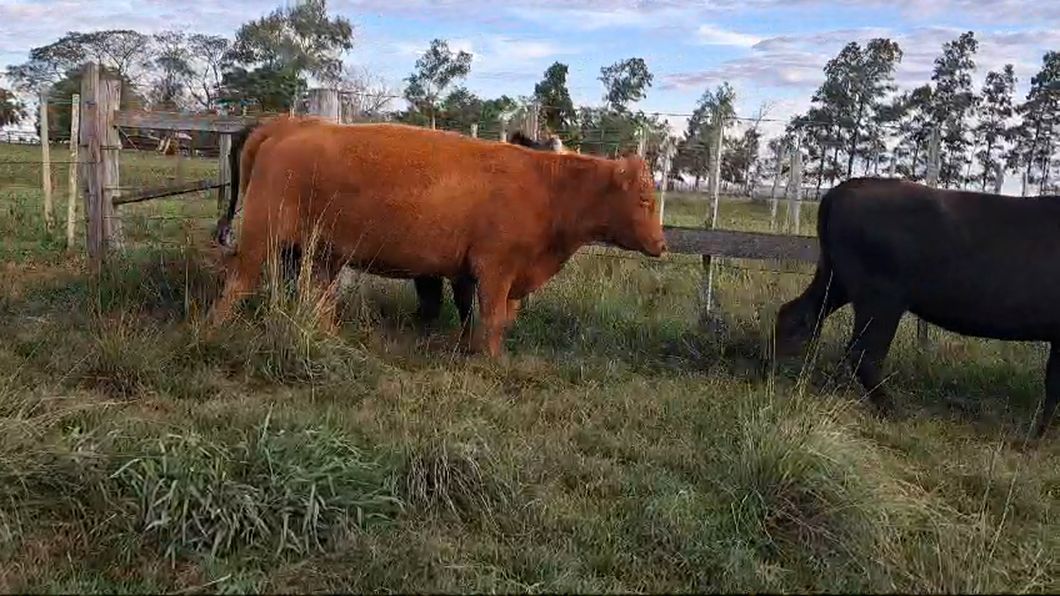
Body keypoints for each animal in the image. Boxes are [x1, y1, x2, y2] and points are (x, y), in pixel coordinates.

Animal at [207, 118, 665, 354]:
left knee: (315, 296)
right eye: (644, 198)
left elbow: (480, 315)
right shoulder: (495, 270)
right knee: (238, 283)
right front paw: (489, 360)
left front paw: (468, 346)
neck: (547, 187)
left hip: (319, 253)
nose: (662, 244)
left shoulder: (471, 272)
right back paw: (213, 330)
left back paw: (330, 336)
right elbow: (492, 318)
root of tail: (286, 126)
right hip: (261, 238)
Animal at [775, 173, 1060, 439]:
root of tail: (841, 190)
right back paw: (894, 411)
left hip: (835, 281)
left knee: (796, 315)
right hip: (880, 300)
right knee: (863, 352)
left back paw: (776, 370)